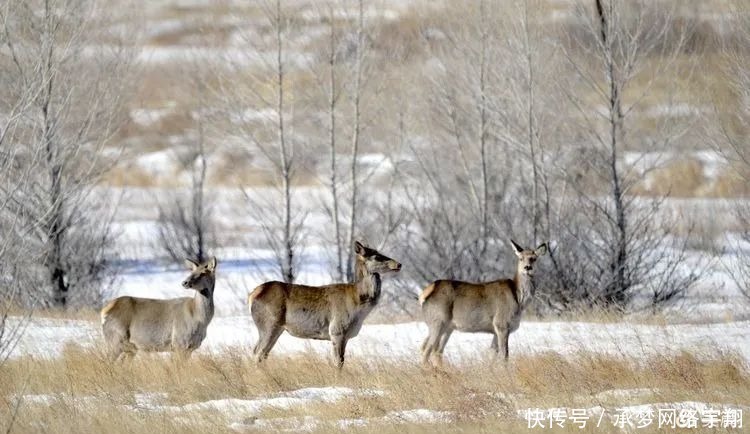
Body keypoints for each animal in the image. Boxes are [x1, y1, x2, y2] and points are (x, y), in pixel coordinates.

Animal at [250, 242, 402, 368]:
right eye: (376, 256)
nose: (399, 264)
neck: (359, 305)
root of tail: (252, 294)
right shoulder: (337, 330)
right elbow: (338, 362)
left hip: (277, 328)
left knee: (262, 353)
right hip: (269, 323)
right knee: (258, 352)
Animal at [420, 241, 548, 366]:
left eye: (534, 258)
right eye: (521, 258)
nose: (528, 267)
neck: (520, 300)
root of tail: (425, 293)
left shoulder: (495, 330)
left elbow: (492, 354)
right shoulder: (502, 323)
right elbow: (505, 355)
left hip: (447, 327)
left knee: (435, 350)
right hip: (438, 321)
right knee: (427, 349)